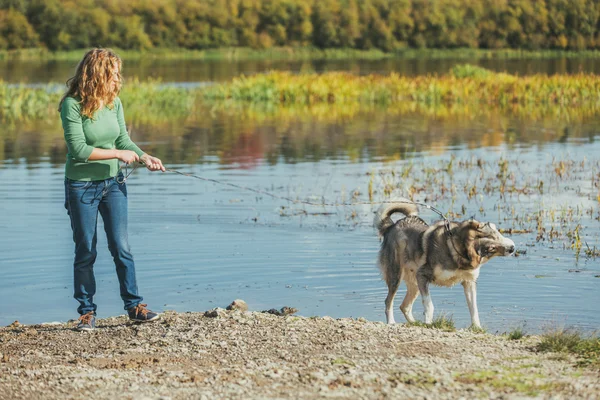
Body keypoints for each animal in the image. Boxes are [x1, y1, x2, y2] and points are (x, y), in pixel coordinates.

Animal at [372, 200, 512, 328]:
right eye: (493, 236)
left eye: (499, 233)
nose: (512, 248)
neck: (458, 250)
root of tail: (391, 225)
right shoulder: (423, 275)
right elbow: (429, 305)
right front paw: (428, 323)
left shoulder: (469, 282)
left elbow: (474, 309)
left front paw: (477, 328)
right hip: (396, 276)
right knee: (388, 301)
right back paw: (392, 322)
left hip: (415, 283)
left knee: (404, 306)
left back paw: (416, 323)